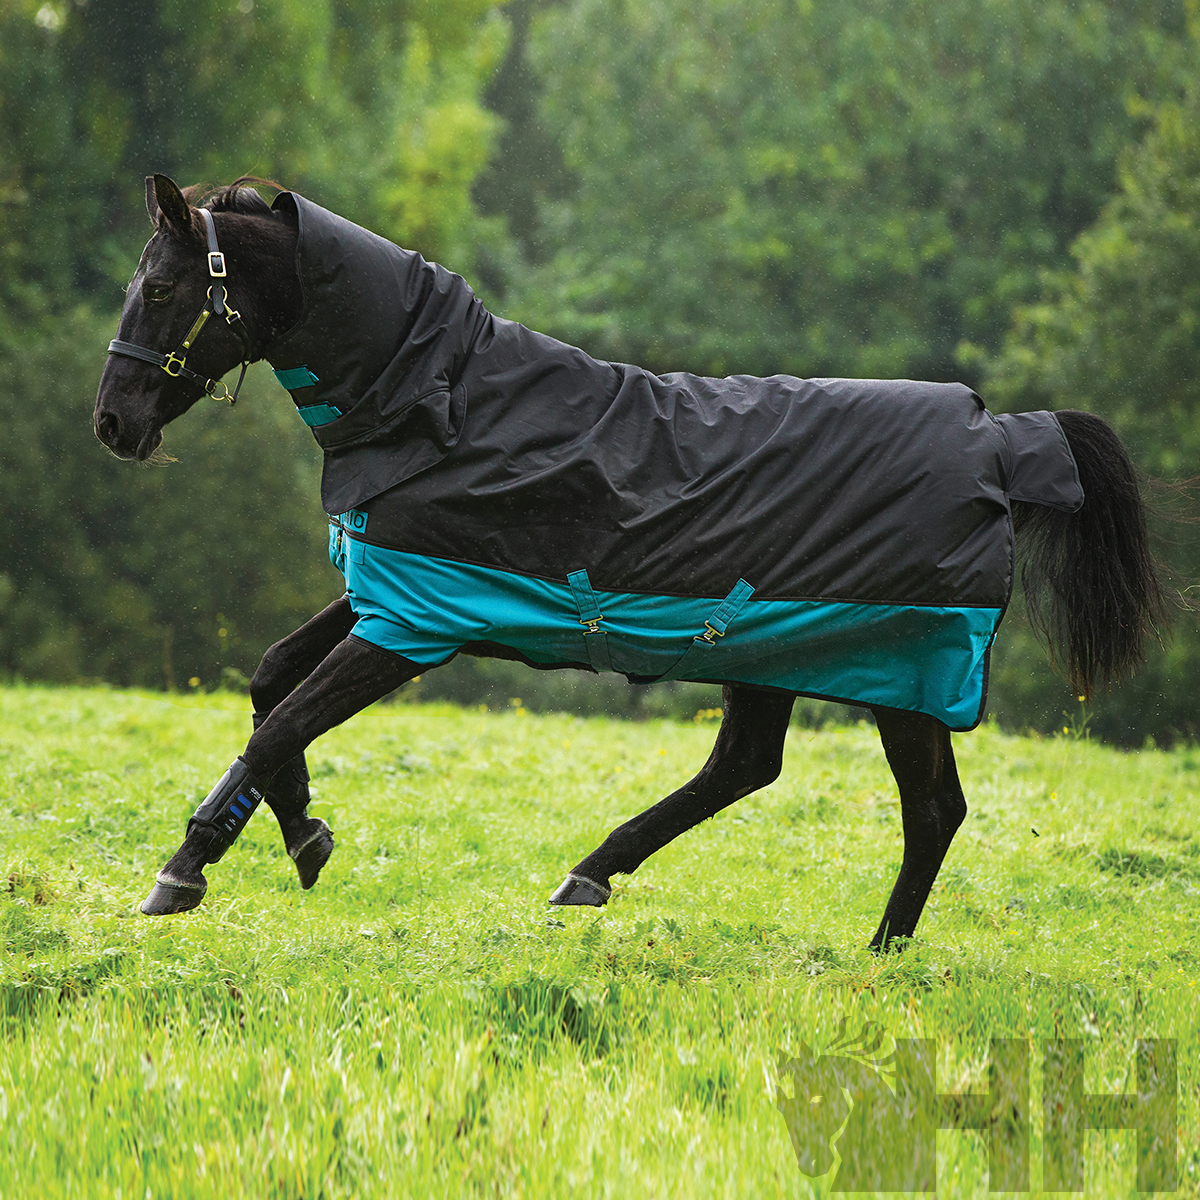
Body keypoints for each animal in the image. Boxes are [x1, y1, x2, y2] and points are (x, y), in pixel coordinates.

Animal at [93, 174, 1165, 946]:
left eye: (161, 288)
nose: (113, 425)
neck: (446, 402)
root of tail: (999, 439)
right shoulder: (391, 587)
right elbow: (271, 682)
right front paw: (300, 833)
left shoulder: (416, 624)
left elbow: (282, 721)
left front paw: (186, 868)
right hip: (771, 653)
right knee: (748, 766)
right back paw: (594, 874)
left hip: (902, 669)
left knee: (930, 808)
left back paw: (880, 953)